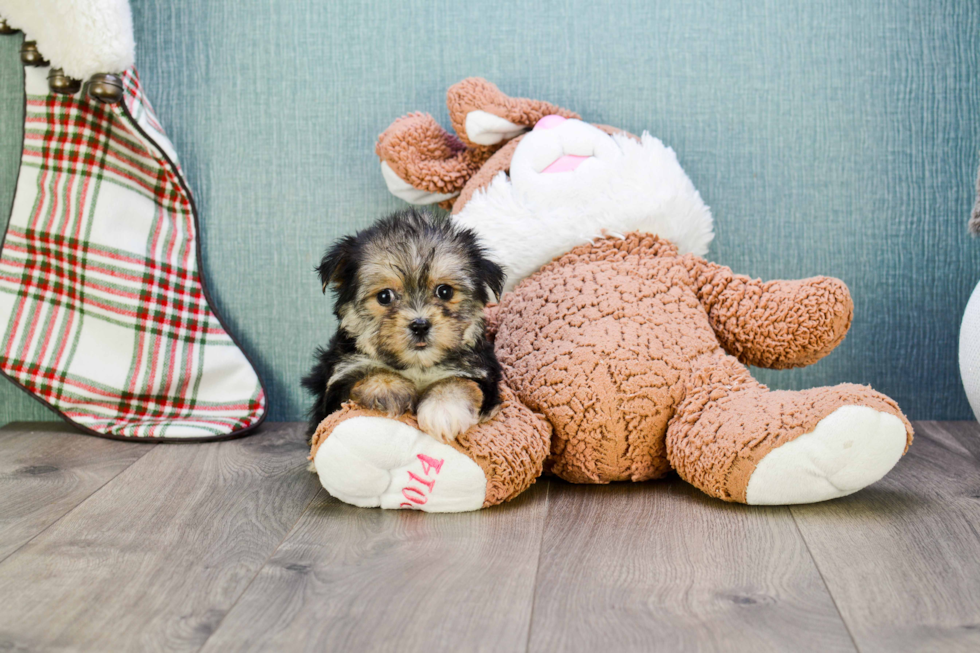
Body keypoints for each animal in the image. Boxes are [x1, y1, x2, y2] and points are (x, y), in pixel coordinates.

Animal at [300, 209, 506, 444]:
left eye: (445, 291)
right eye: (384, 296)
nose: (420, 325)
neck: (417, 366)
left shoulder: (483, 373)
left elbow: (459, 381)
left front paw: (444, 408)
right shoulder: (334, 389)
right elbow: (365, 374)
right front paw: (389, 389)